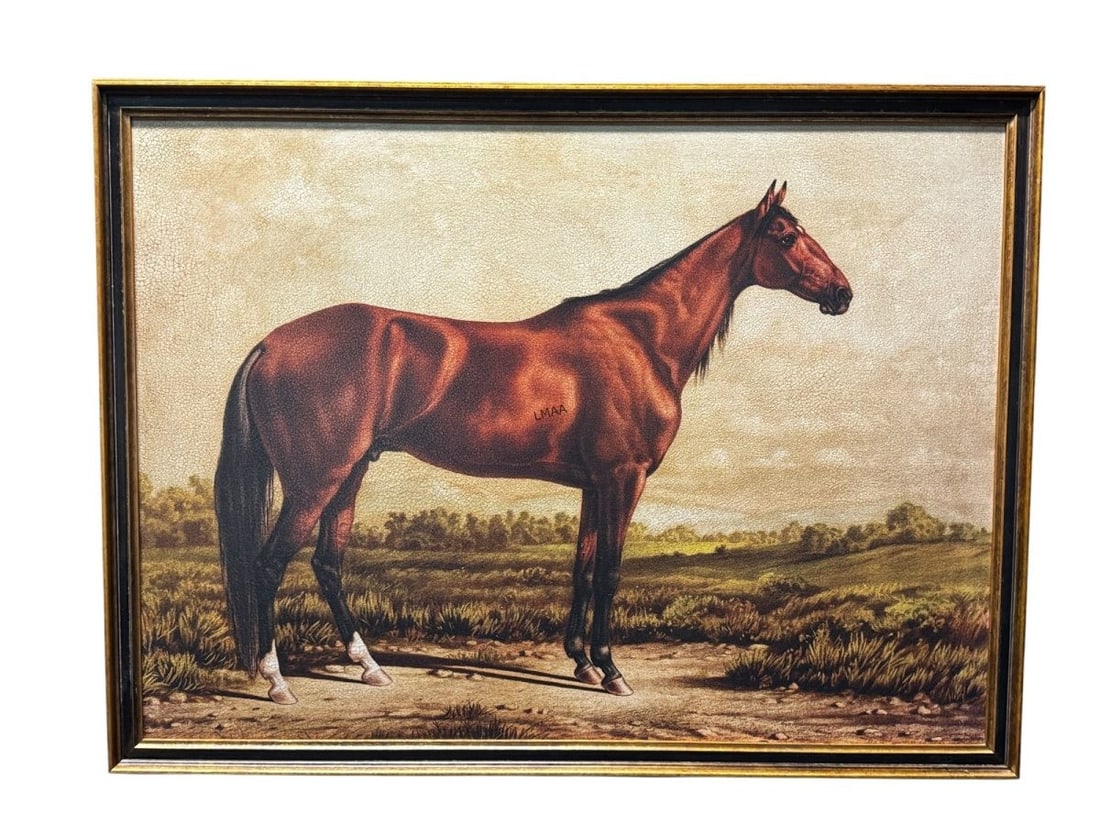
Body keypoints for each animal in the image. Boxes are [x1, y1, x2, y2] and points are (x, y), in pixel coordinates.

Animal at [214, 181, 852, 704]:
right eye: (787, 236)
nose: (843, 294)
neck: (640, 339)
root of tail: (270, 344)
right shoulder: (624, 479)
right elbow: (611, 573)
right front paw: (611, 671)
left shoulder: (595, 485)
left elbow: (584, 569)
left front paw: (582, 664)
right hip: (315, 481)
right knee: (269, 564)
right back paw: (276, 681)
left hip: (348, 474)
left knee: (327, 563)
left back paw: (370, 667)